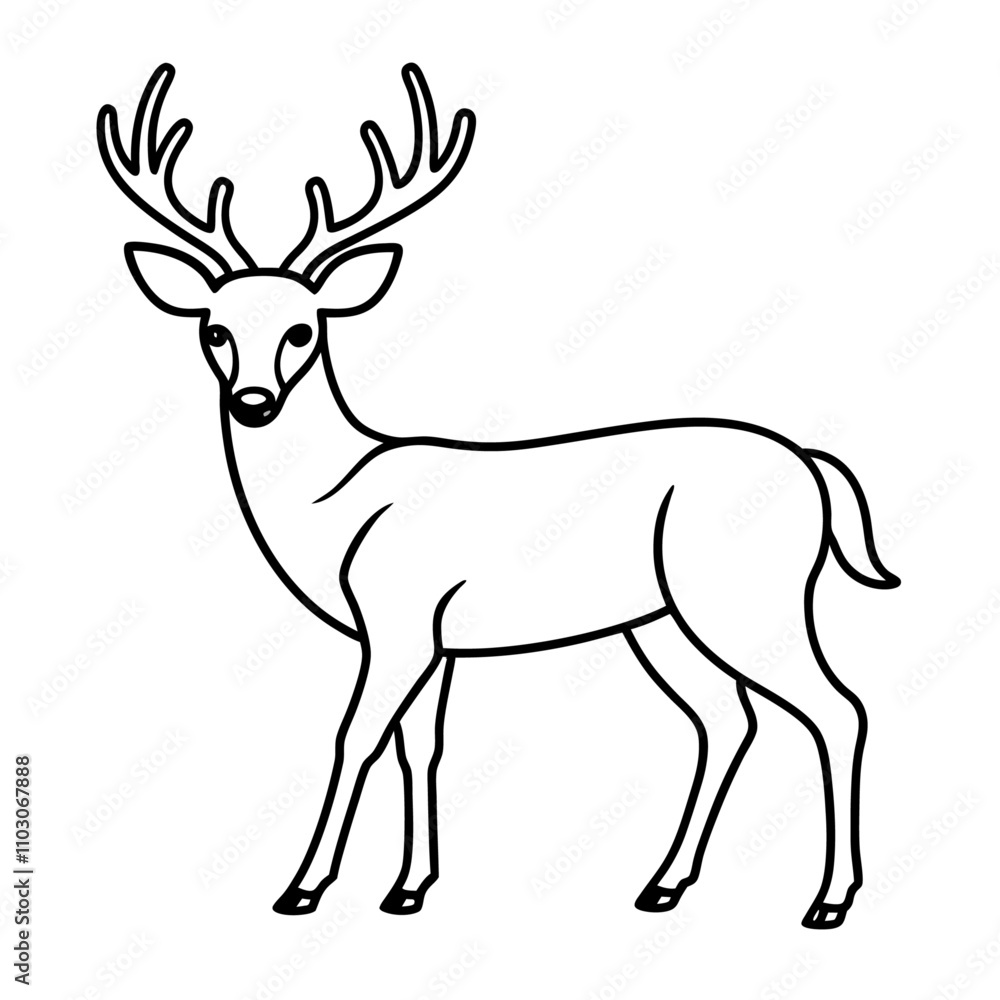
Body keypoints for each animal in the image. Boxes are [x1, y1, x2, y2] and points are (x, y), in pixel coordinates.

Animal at [98, 62, 899, 929]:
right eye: (213, 328)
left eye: (303, 330)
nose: (253, 401)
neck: (337, 504)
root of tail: (813, 466)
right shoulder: (433, 638)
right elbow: (422, 746)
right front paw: (408, 888)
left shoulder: (398, 619)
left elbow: (356, 738)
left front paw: (303, 888)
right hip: (660, 619)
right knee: (728, 719)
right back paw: (662, 885)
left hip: (748, 592)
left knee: (837, 708)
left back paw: (829, 901)